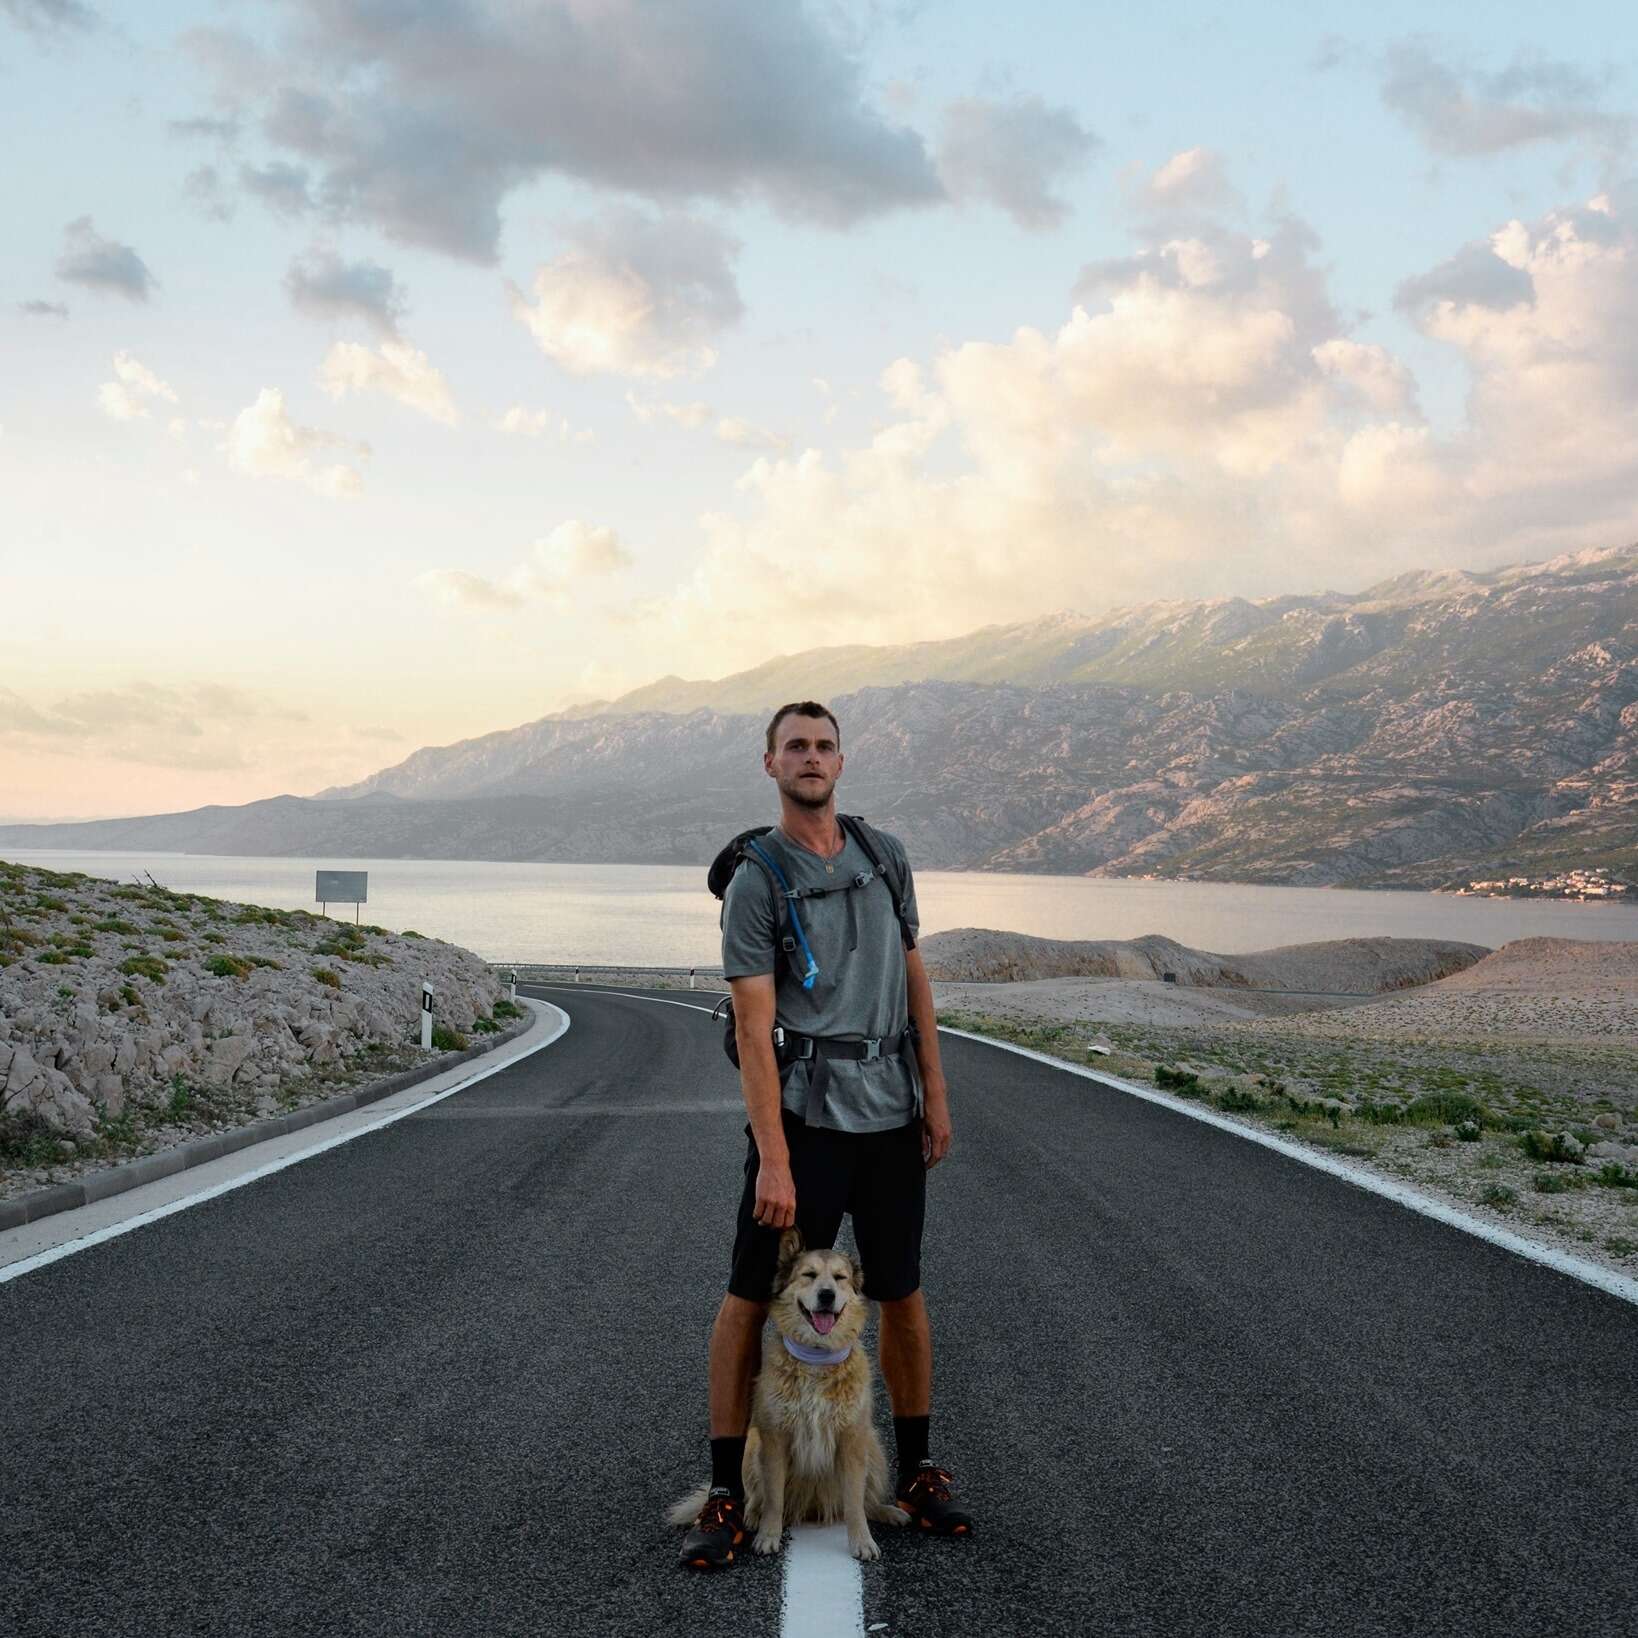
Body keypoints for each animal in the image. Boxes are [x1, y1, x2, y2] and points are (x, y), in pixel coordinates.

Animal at [671, 1231, 917, 1559]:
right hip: (752, 1445)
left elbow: (854, 1501)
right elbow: (774, 1497)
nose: (826, 1295)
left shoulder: (852, 1440)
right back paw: (751, 1516)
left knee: (864, 1501)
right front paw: (768, 1535)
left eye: (839, 1278)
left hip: (873, 1445)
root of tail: (811, 1508)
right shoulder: (775, 1439)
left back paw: (888, 1511)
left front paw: (862, 1540)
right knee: (755, 1496)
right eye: (809, 1275)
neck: (816, 1357)